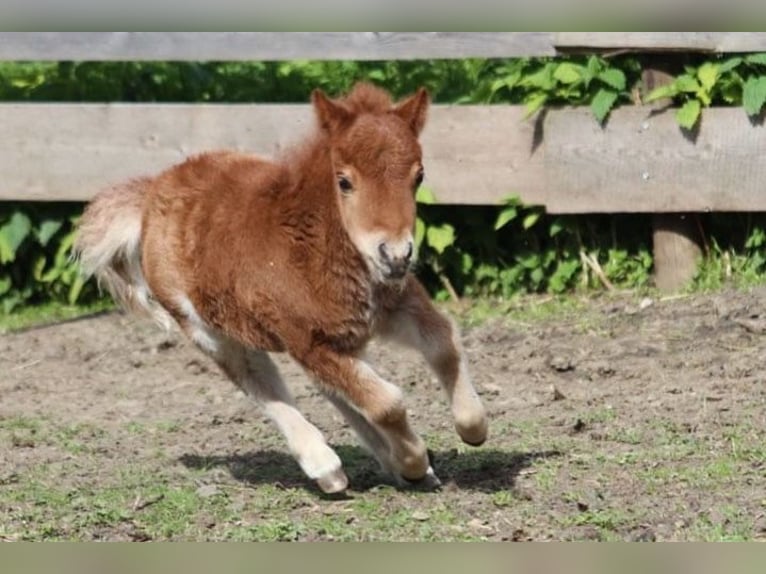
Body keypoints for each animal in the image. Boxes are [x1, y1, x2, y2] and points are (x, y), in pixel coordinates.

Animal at [75, 82, 488, 496]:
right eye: (344, 181)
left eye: (418, 176)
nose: (396, 255)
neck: (312, 246)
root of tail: (151, 194)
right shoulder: (308, 340)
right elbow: (386, 401)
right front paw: (414, 461)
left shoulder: (393, 305)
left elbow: (443, 343)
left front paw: (471, 430)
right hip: (212, 333)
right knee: (259, 382)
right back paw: (328, 468)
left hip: (335, 338)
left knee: (333, 387)